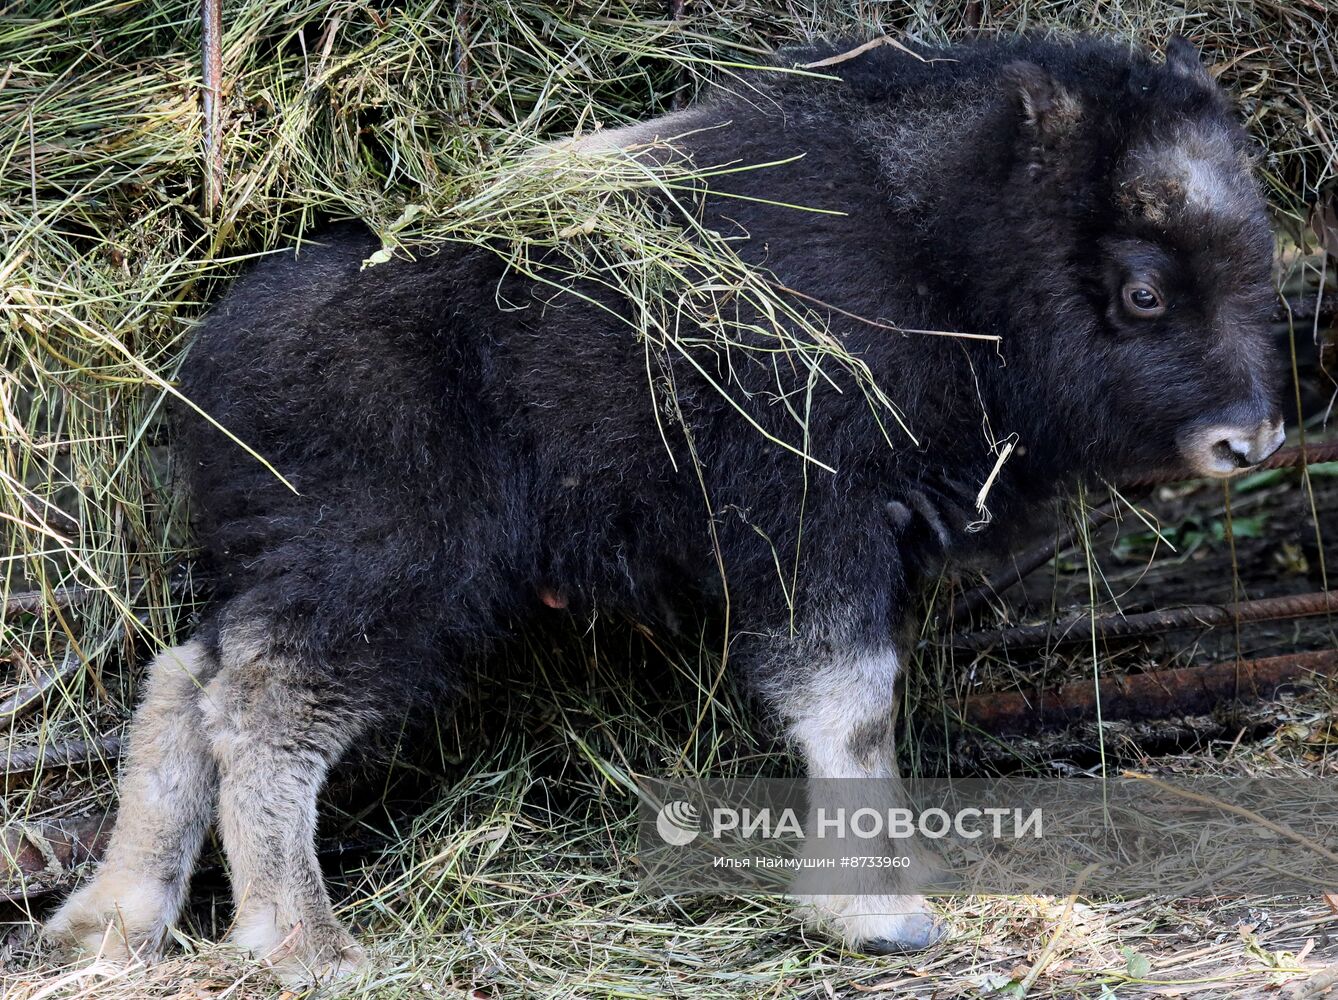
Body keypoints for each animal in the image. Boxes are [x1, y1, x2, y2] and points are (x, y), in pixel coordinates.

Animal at [49, 33, 1284, 985]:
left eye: (1257, 262)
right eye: (1142, 288)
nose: (1253, 441)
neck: (939, 249)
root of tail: (206, 370)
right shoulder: (817, 529)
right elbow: (853, 707)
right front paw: (877, 914)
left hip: (293, 561)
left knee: (185, 677)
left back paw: (114, 923)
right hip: (384, 570)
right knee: (262, 705)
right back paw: (304, 945)